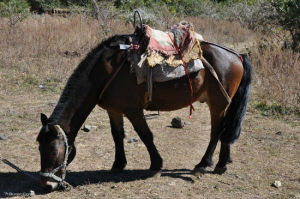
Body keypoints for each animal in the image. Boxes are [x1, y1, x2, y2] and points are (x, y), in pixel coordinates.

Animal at [36, 34, 252, 191]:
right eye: (39, 148)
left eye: (53, 151)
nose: (46, 184)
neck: (104, 72)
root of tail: (237, 55)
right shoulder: (114, 110)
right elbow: (117, 136)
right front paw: (118, 164)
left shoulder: (133, 111)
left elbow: (146, 135)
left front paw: (156, 164)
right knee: (225, 132)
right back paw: (221, 163)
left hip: (218, 104)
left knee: (217, 132)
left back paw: (206, 164)